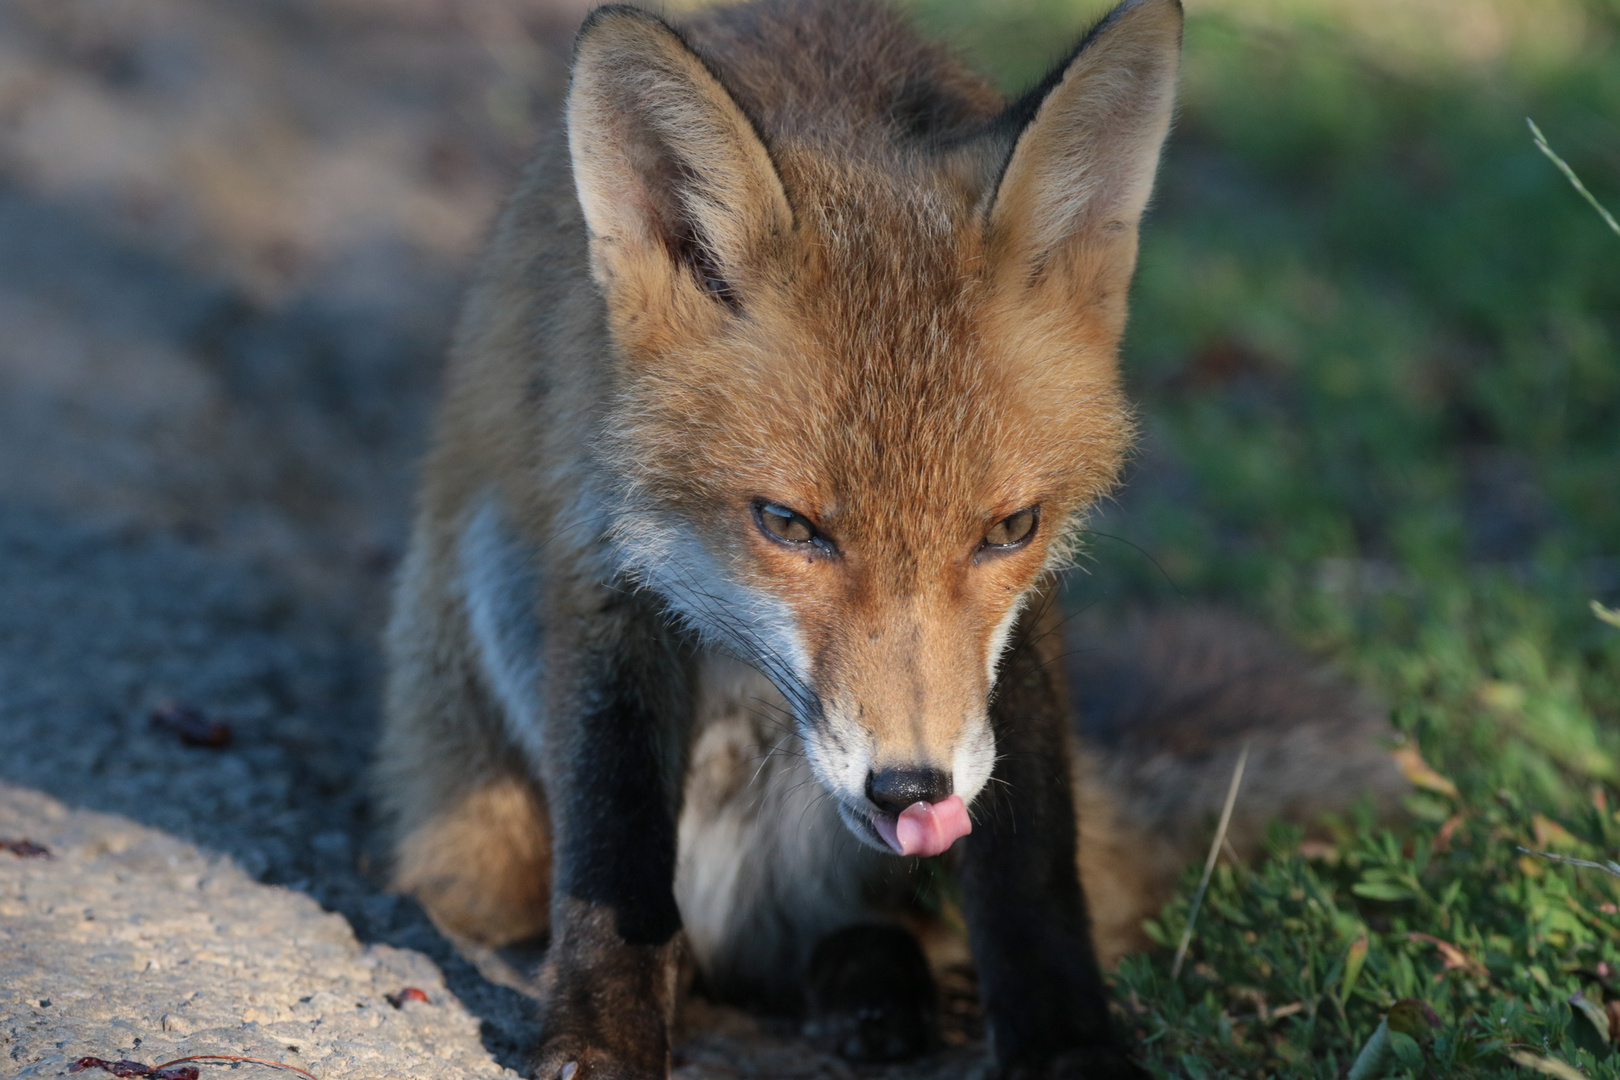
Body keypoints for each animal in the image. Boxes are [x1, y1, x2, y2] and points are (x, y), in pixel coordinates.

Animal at [375, 0, 1406, 1075]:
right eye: (788, 525)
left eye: (1010, 528)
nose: (914, 787)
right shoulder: (598, 560)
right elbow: (612, 840)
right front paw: (602, 1034)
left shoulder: (1019, 636)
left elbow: (1032, 863)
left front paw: (1066, 1041)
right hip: (487, 613)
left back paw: (872, 981)